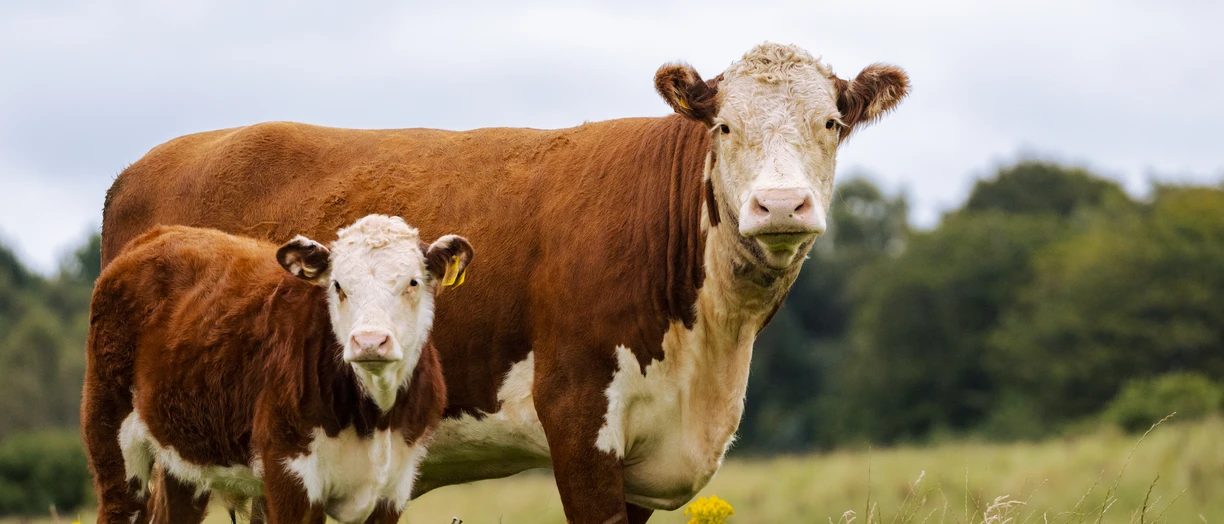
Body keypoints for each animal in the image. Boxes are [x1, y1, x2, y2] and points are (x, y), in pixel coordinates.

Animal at [81, 215, 473, 524]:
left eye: (412, 282)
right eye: (338, 285)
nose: (370, 341)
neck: (374, 418)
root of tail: (158, 234)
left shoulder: (393, 486)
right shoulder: (289, 474)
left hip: (185, 455)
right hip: (111, 437)